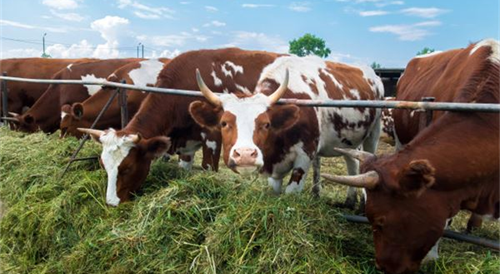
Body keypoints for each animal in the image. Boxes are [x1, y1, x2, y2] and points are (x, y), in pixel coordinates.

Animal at [76, 48, 286, 206]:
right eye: (103, 165)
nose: (112, 203)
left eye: (127, 167)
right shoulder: (187, 143)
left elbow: (208, 168)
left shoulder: (212, 138)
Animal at [188, 54, 382, 202]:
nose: (245, 155)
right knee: (352, 162)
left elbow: (290, 193)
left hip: (373, 133)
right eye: (224, 123)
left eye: (266, 124)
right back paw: (349, 200)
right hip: (348, 140)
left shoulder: (305, 156)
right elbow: (275, 191)